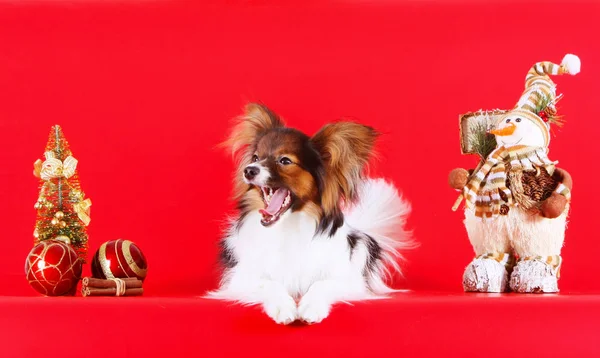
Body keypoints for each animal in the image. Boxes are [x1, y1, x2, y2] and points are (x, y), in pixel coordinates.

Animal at [207, 103, 412, 324]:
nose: (249, 170)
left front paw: (311, 307)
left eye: (285, 161)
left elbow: (321, 285)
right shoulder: (242, 278)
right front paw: (283, 307)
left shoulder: (349, 281)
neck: (289, 227)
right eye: (255, 158)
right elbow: (270, 284)